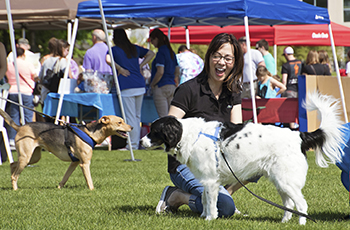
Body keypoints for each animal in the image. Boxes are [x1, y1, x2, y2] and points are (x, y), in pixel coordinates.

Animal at [0, 108, 132, 190]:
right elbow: (89, 181)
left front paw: (58, 189)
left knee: (12, 165)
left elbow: (65, 178)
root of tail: (20, 127)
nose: (132, 127)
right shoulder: (84, 163)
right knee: (14, 175)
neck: (90, 133)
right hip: (26, 157)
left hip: (33, 157)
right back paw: (15, 189)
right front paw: (92, 191)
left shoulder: (75, 162)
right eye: (119, 122)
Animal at [142, 92, 344, 225]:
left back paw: (301, 224)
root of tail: (299, 135)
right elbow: (205, 200)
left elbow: (210, 203)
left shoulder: (210, 181)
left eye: (154, 131)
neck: (189, 135)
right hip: (280, 181)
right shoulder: (208, 181)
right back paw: (284, 223)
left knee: (301, 204)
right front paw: (204, 217)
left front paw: (209, 219)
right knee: (288, 204)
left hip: (286, 181)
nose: (141, 141)